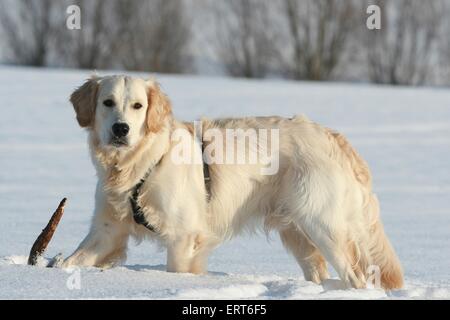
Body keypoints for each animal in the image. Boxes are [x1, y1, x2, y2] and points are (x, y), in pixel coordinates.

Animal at [64, 75, 404, 290]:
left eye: (138, 106)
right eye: (107, 102)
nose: (120, 129)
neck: (140, 164)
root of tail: (333, 137)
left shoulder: (183, 237)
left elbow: (177, 270)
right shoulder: (107, 229)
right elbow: (70, 261)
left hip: (322, 224)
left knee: (355, 278)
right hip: (297, 231)